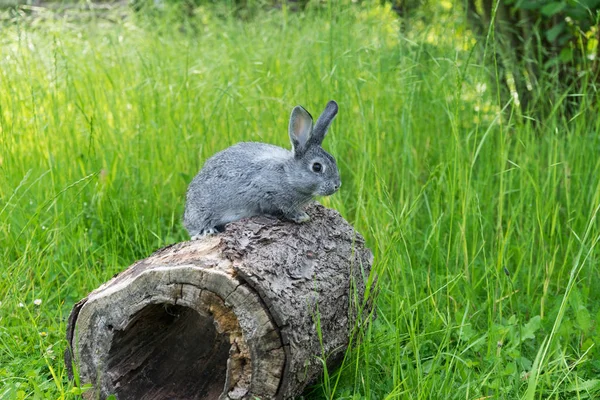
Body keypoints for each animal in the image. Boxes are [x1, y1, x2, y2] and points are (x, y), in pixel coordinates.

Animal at [183, 100, 342, 239]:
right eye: (317, 167)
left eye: (333, 159)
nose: (337, 185)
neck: (287, 175)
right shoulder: (266, 190)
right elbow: (285, 208)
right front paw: (302, 217)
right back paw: (206, 231)